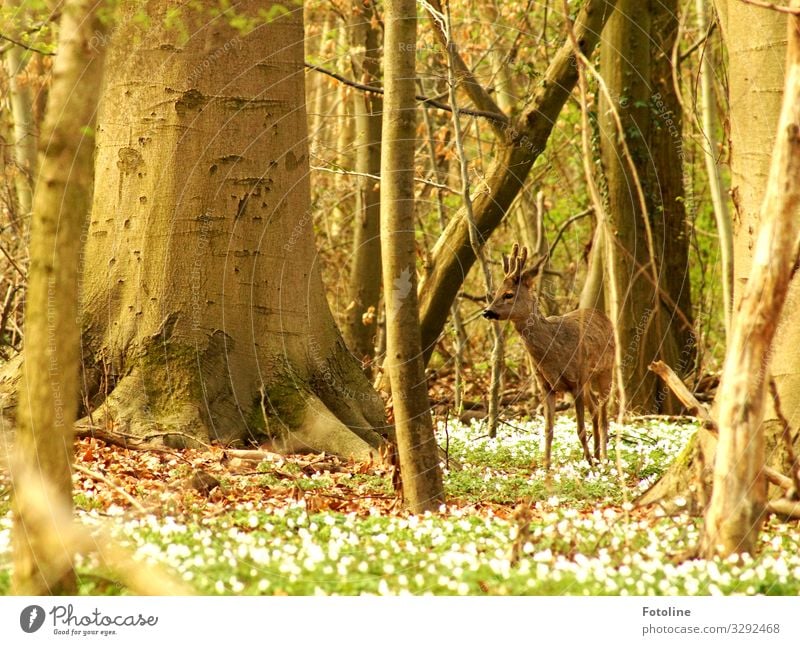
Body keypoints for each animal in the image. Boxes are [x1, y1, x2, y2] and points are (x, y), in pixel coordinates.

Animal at [482, 244, 620, 466]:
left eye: (509, 294)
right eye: (495, 292)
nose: (487, 311)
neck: (553, 351)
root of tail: (602, 315)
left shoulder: (576, 383)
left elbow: (580, 429)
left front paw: (589, 464)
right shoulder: (546, 386)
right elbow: (548, 430)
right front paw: (546, 466)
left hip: (605, 371)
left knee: (604, 415)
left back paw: (603, 458)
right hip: (588, 381)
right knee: (595, 410)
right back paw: (597, 456)